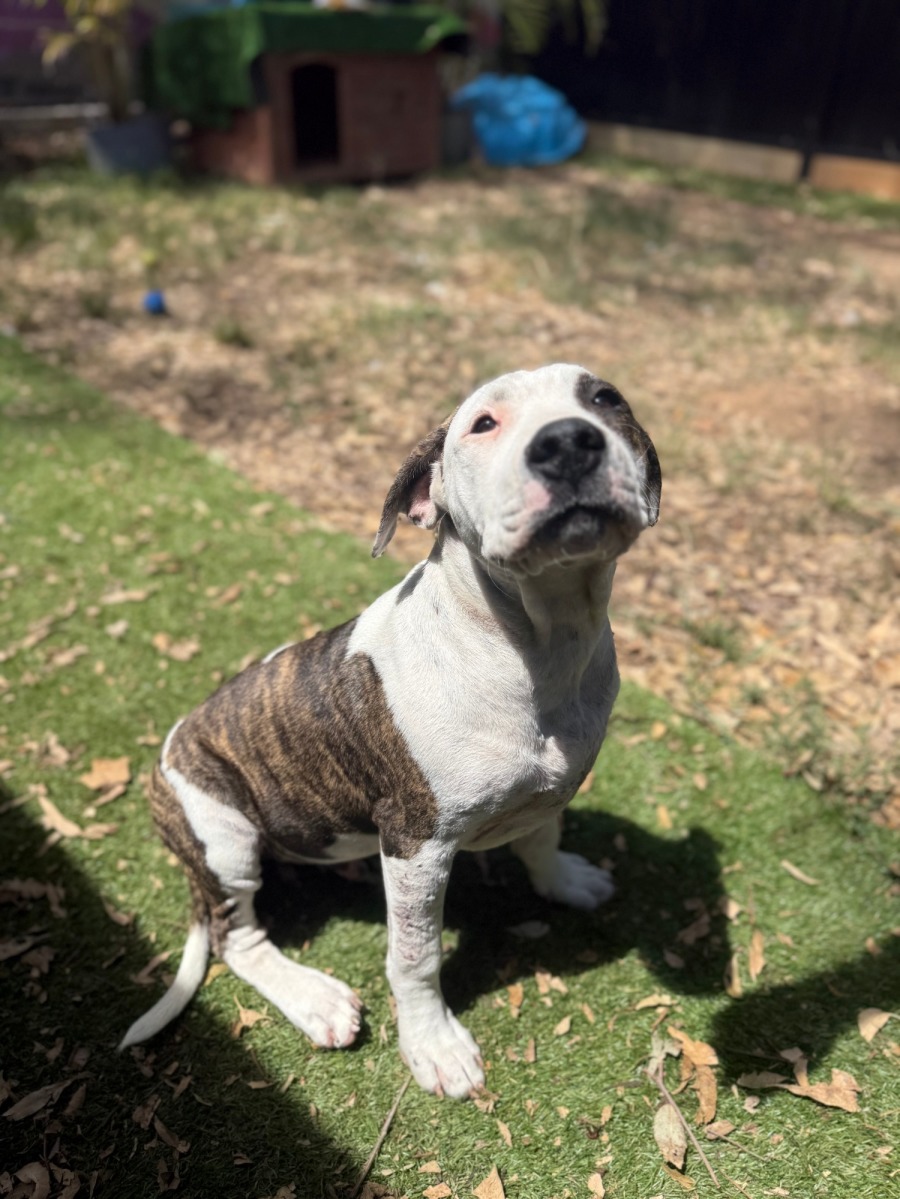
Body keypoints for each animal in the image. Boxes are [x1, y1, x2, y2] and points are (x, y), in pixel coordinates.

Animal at [120, 363, 661, 1098]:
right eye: (482, 424)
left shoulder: (551, 784)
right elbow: (416, 954)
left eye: (605, 398)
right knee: (237, 938)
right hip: (224, 836)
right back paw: (316, 998)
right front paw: (434, 1044)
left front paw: (566, 880)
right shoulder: (416, 844)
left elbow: (541, 835)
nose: (568, 442)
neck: (539, 642)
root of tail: (164, 759)